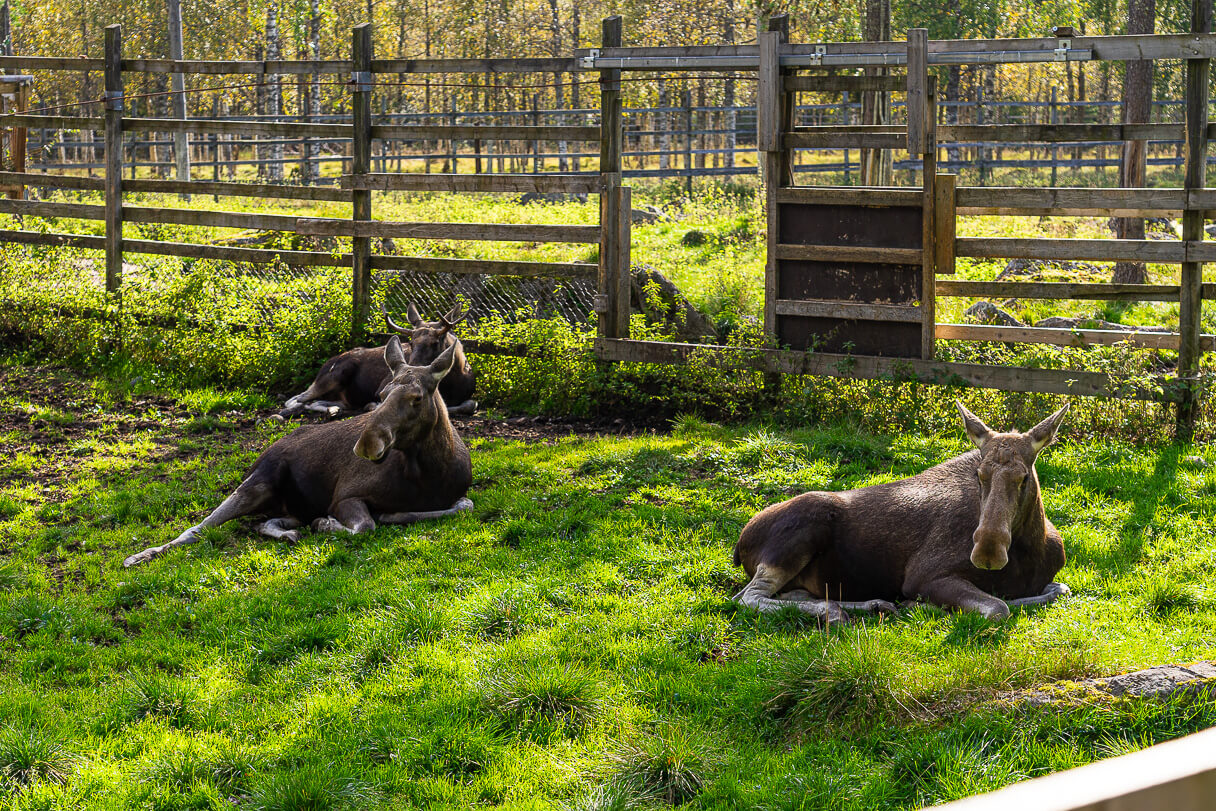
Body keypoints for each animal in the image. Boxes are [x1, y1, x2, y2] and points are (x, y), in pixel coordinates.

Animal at [123, 333, 471, 569]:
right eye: (382, 394)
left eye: (416, 398)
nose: (367, 444)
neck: (427, 472)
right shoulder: (345, 496)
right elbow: (364, 527)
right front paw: (329, 524)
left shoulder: (457, 496)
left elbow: (461, 506)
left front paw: (391, 513)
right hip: (257, 483)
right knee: (197, 529)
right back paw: (139, 556)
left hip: (287, 507)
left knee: (263, 523)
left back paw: (286, 532)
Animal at [282, 302, 476, 423]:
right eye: (411, 342)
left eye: (435, 343)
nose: (410, 369)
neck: (452, 382)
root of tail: (326, 364)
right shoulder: (381, 388)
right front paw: (374, 405)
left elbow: (470, 405)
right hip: (334, 375)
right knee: (296, 399)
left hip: (341, 395)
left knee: (317, 402)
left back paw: (334, 409)